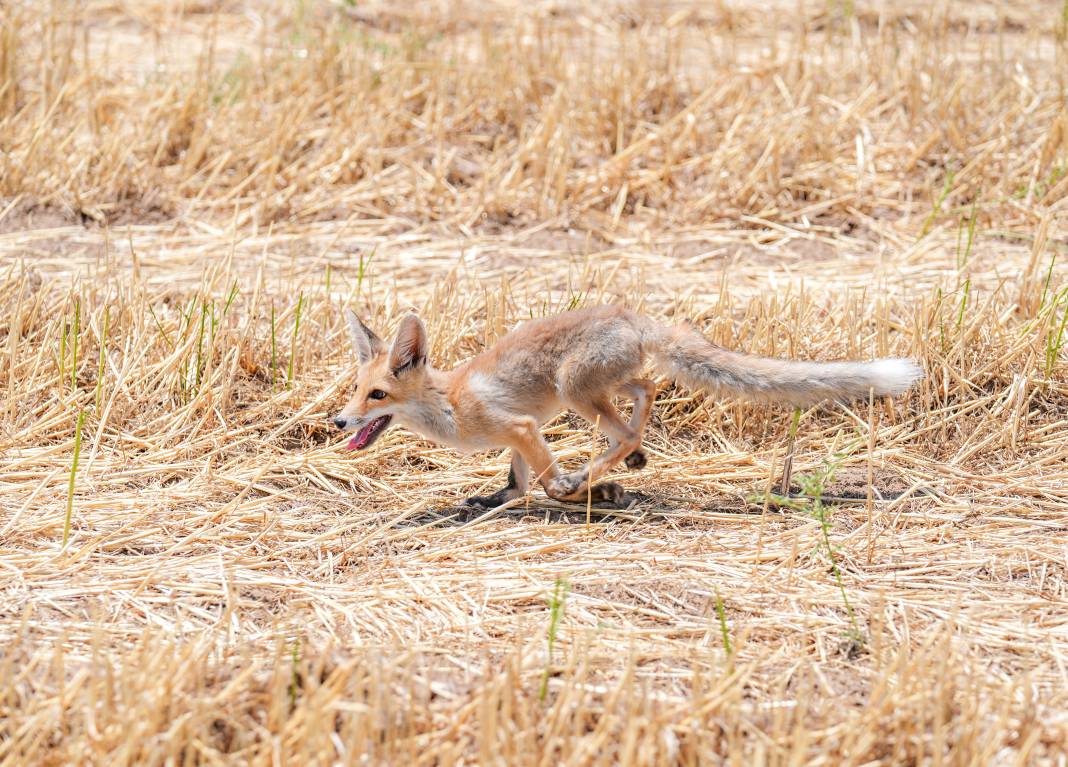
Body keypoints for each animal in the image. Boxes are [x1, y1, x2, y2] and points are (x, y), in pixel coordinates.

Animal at [331, 305, 918, 510]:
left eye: (377, 396)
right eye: (356, 389)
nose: (339, 421)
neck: (450, 404)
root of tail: (633, 316)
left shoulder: (519, 425)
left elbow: (547, 481)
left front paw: (580, 491)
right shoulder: (520, 433)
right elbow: (516, 484)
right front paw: (493, 499)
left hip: (573, 389)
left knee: (631, 424)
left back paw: (606, 469)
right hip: (594, 388)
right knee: (647, 389)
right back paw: (626, 462)